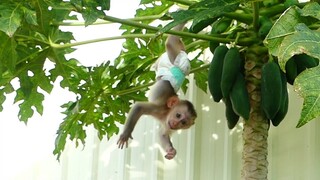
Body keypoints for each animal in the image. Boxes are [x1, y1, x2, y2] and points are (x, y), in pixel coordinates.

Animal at [117, 23, 198, 160]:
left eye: (183, 122)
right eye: (178, 115)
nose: (176, 123)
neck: (166, 114)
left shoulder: (167, 125)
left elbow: (163, 134)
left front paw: (171, 151)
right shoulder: (159, 108)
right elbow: (138, 107)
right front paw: (126, 134)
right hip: (174, 55)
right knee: (170, 42)